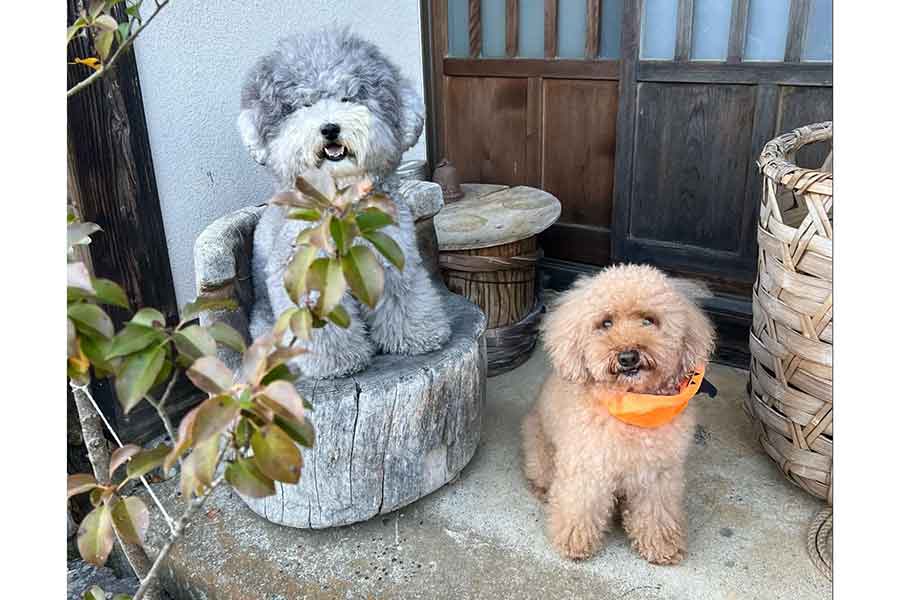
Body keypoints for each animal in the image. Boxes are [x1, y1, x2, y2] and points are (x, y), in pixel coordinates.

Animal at [239, 30, 450, 378]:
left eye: (349, 98)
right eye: (305, 104)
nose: (329, 128)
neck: (339, 198)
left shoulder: (392, 258)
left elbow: (405, 299)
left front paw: (418, 335)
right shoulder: (311, 279)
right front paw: (337, 362)